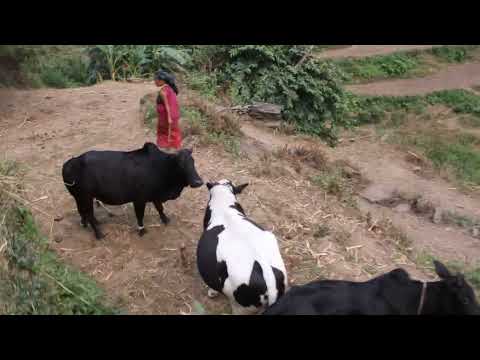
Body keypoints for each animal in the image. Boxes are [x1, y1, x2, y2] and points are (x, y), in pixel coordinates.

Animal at [61, 143, 202, 239]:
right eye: (180, 164)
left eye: (193, 162)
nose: (198, 182)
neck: (160, 167)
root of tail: (71, 162)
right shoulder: (139, 200)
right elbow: (140, 215)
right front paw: (142, 230)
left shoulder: (155, 196)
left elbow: (160, 208)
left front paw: (166, 220)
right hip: (86, 197)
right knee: (88, 214)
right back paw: (99, 234)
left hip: (79, 197)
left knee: (83, 212)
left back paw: (88, 223)